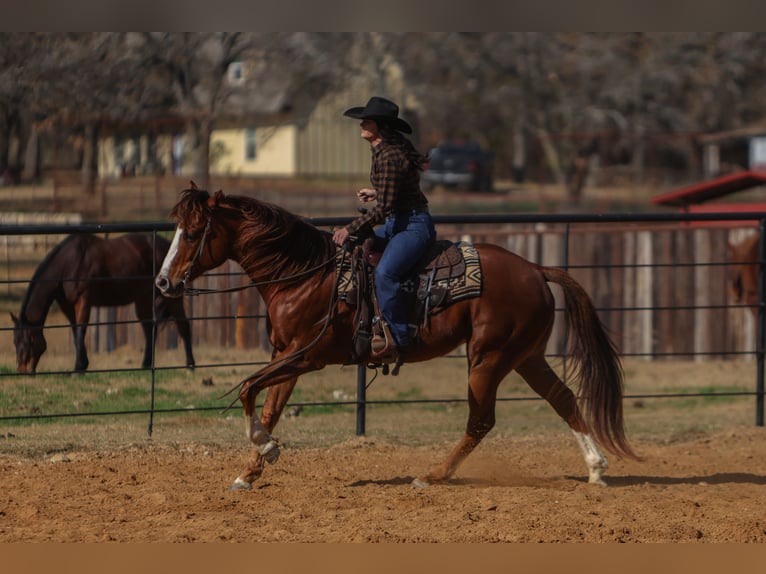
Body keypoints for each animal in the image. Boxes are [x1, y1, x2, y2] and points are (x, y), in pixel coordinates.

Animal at [12, 233, 196, 374]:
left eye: (28, 341)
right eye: (15, 341)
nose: (22, 370)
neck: (69, 263)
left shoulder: (84, 301)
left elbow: (81, 330)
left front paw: (79, 368)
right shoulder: (67, 305)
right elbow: (75, 331)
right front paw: (82, 365)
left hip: (170, 298)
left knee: (183, 326)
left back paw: (190, 366)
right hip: (143, 299)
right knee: (150, 328)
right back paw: (145, 365)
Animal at [155, 183, 638, 490]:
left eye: (193, 233)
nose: (163, 282)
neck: (303, 274)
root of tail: (536, 269)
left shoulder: (307, 356)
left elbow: (247, 389)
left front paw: (267, 450)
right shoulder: (287, 356)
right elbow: (268, 405)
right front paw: (250, 471)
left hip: (488, 359)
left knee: (481, 421)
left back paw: (433, 475)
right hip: (526, 356)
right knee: (563, 398)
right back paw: (596, 469)